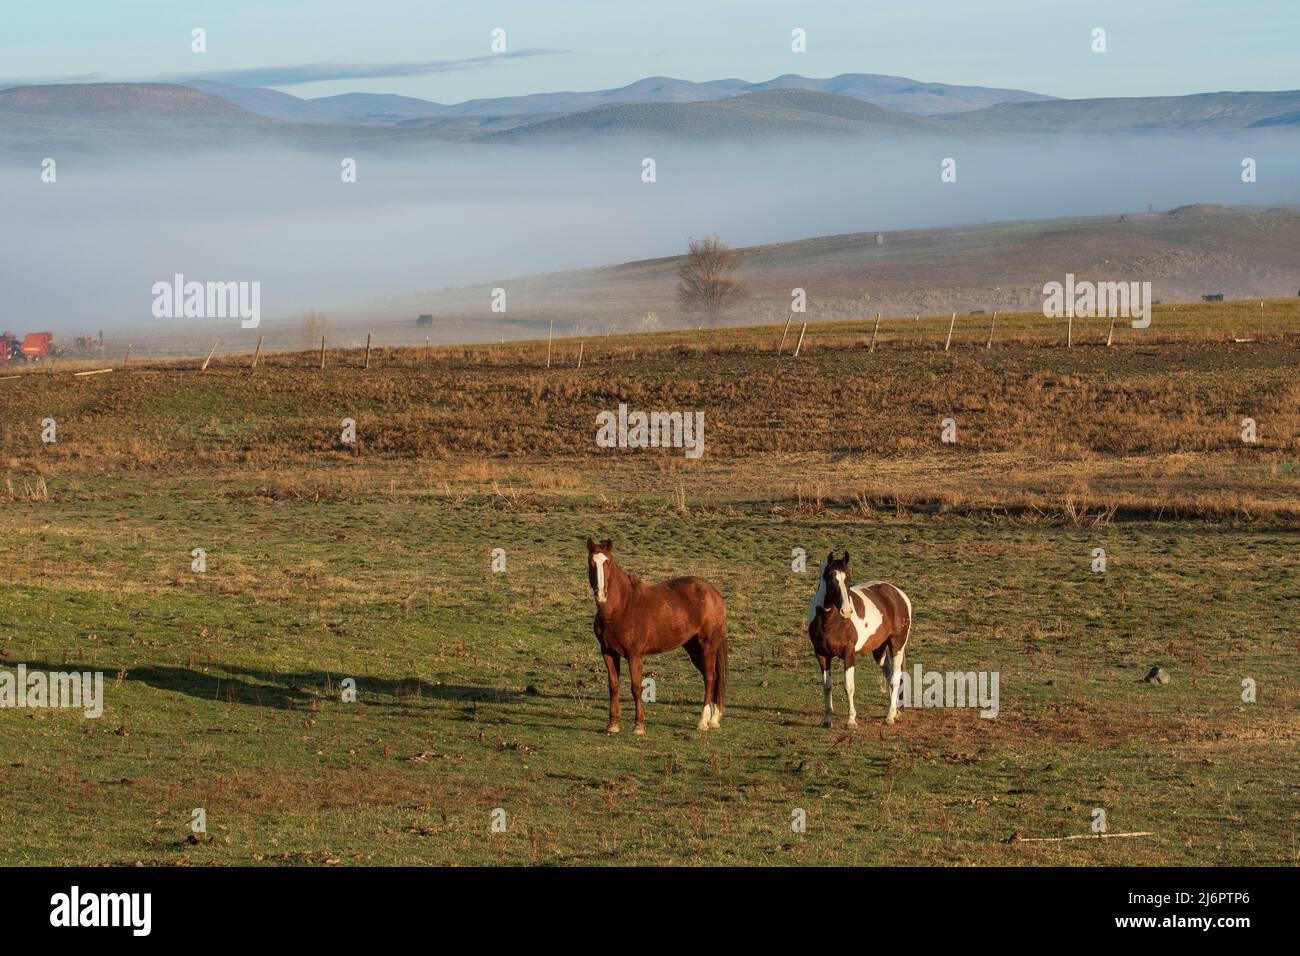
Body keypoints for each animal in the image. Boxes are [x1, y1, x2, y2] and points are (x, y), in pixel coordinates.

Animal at [585, 541, 728, 738]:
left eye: (608, 562)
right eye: (591, 562)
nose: (601, 594)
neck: (621, 608)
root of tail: (714, 593)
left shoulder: (635, 655)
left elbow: (636, 687)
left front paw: (639, 726)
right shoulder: (608, 652)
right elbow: (613, 686)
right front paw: (612, 725)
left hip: (707, 646)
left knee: (709, 678)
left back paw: (702, 722)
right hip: (693, 648)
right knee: (712, 678)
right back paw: (713, 719)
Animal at [800, 554, 915, 723]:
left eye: (848, 578)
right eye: (831, 579)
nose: (847, 611)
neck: (830, 622)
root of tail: (899, 594)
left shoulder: (849, 653)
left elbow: (849, 686)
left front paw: (851, 720)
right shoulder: (821, 654)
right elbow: (827, 686)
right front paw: (827, 720)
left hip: (897, 645)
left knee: (895, 679)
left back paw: (889, 717)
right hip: (879, 650)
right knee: (888, 677)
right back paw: (893, 712)